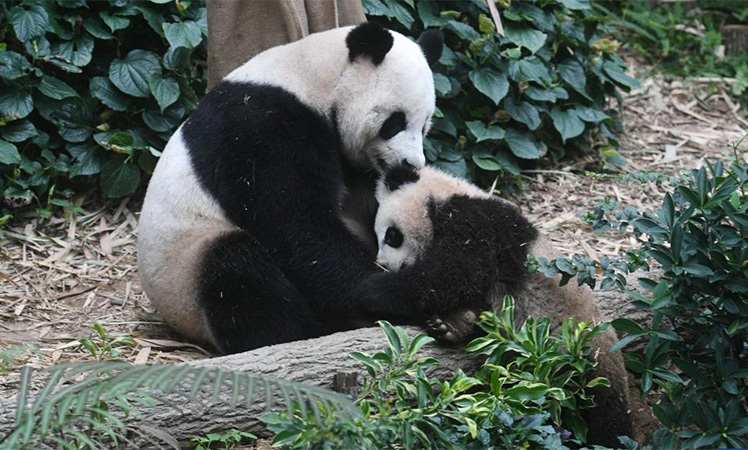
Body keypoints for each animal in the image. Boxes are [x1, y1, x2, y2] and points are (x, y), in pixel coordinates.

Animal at [138, 24, 462, 356]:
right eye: (395, 122)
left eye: (425, 124)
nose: (412, 163)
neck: (311, 79)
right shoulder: (260, 129)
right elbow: (298, 226)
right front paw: (388, 295)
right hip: (186, 267)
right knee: (236, 272)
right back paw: (315, 330)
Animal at [372, 166, 632, 446]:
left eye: (392, 236)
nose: (383, 265)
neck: (443, 194)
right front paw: (455, 323)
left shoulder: (478, 223)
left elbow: (452, 276)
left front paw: (367, 288)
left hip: (584, 351)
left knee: (605, 408)